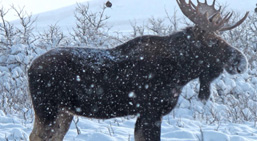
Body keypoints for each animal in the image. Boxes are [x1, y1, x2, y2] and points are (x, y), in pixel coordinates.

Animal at [28, 0, 248, 140]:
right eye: (213, 41)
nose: (242, 60)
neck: (180, 73)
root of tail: (30, 67)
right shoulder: (151, 111)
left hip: (65, 112)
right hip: (46, 109)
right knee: (36, 136)